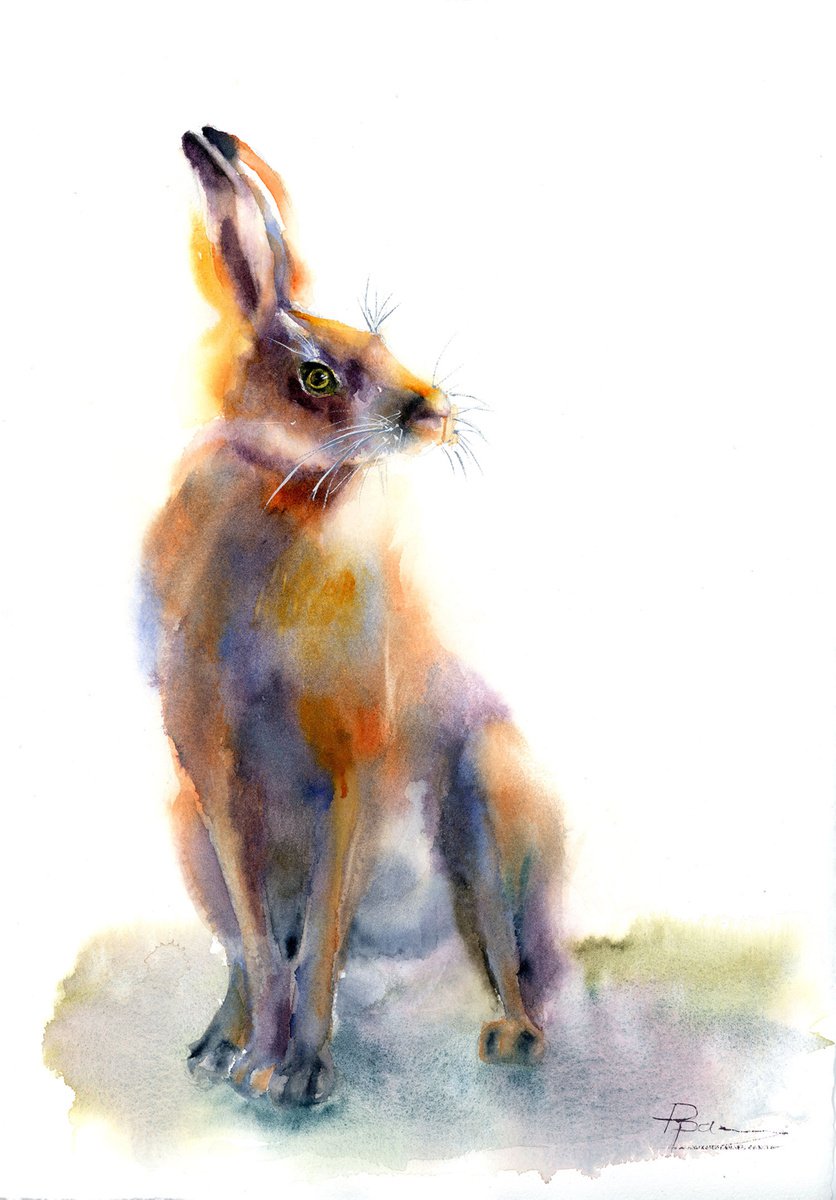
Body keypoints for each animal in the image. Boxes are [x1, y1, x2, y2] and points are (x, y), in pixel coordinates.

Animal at [140, 126, 564, 1107]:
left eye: (382, 341)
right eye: (317, 375)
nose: (432, 411)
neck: (287, 495)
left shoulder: (352, 770)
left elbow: (319, 936)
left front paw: (297, 1076)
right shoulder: (215, 777)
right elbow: (265, 944)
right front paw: (262, 1066)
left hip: (488, 797)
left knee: (502, 951)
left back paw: (512, 1039)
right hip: (185, 830)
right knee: (242, 952)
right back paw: (216, 1046)